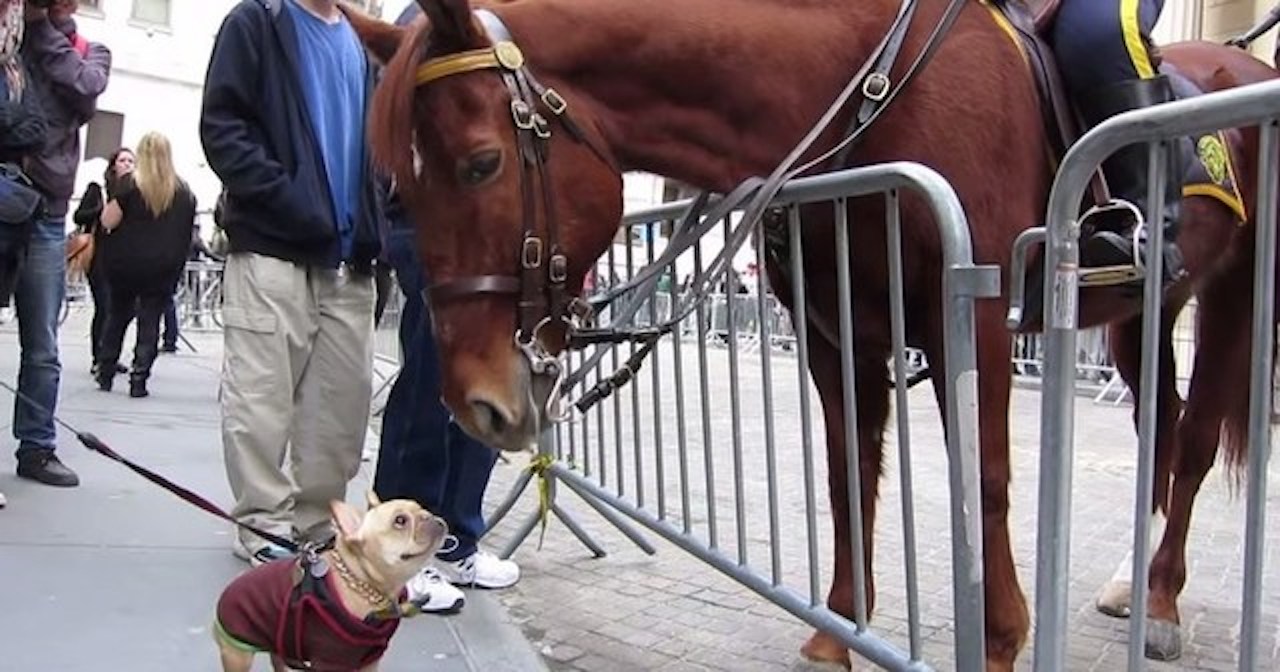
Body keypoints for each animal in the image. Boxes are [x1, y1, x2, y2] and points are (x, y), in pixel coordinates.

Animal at [214, 496, 447, 672]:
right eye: (400, 521)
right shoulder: (330, 660)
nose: (430, 516)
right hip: (237, 655)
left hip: (280, 645)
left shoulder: (370, 660)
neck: (364, 584)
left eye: (422, 508)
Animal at [344, 0, 1276, 668]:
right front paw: (840, 630)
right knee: (1160, 432)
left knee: (1193, 445)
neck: (873, 93)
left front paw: (1002, 638)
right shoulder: (836, 333)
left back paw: (1161, 601)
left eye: (480, 164)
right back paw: (1132, 582)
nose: (476, 401)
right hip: (1146, 314)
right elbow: (844, 472)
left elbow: (985, 482)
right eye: (398, 190)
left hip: (1233, 301)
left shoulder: (970, 318)